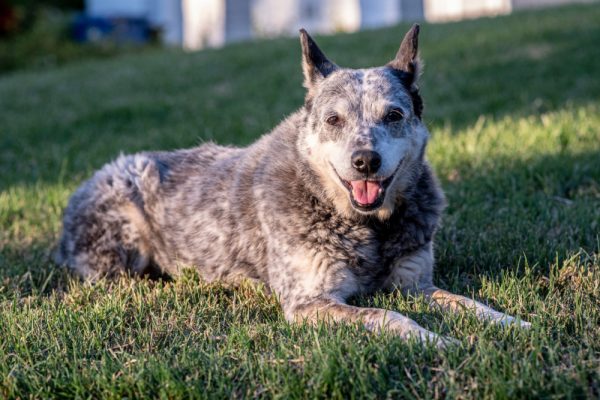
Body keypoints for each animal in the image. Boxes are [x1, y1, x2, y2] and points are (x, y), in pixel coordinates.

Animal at [55, 25, 528, 346]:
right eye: (334, 119)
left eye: (394, 115)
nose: (365, 160)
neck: (366, 228)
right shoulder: (309, 302)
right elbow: (388, 316)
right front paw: (436, 340)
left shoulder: (415, 285)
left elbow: (467, 303)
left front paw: (514, 324)